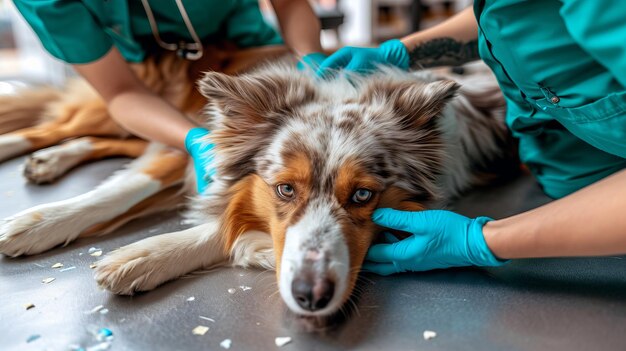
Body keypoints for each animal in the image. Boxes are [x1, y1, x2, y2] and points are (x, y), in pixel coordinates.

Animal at [0, 48, 508, 324]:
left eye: (364, 195)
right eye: (285, 189)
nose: (310, 295)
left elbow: (223, 224)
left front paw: (148, 257)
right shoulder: (194, 144)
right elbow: (123, 191)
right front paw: (37, 225)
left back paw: (46, 160)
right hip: (117, 107)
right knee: (60, 125)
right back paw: (29, 152)